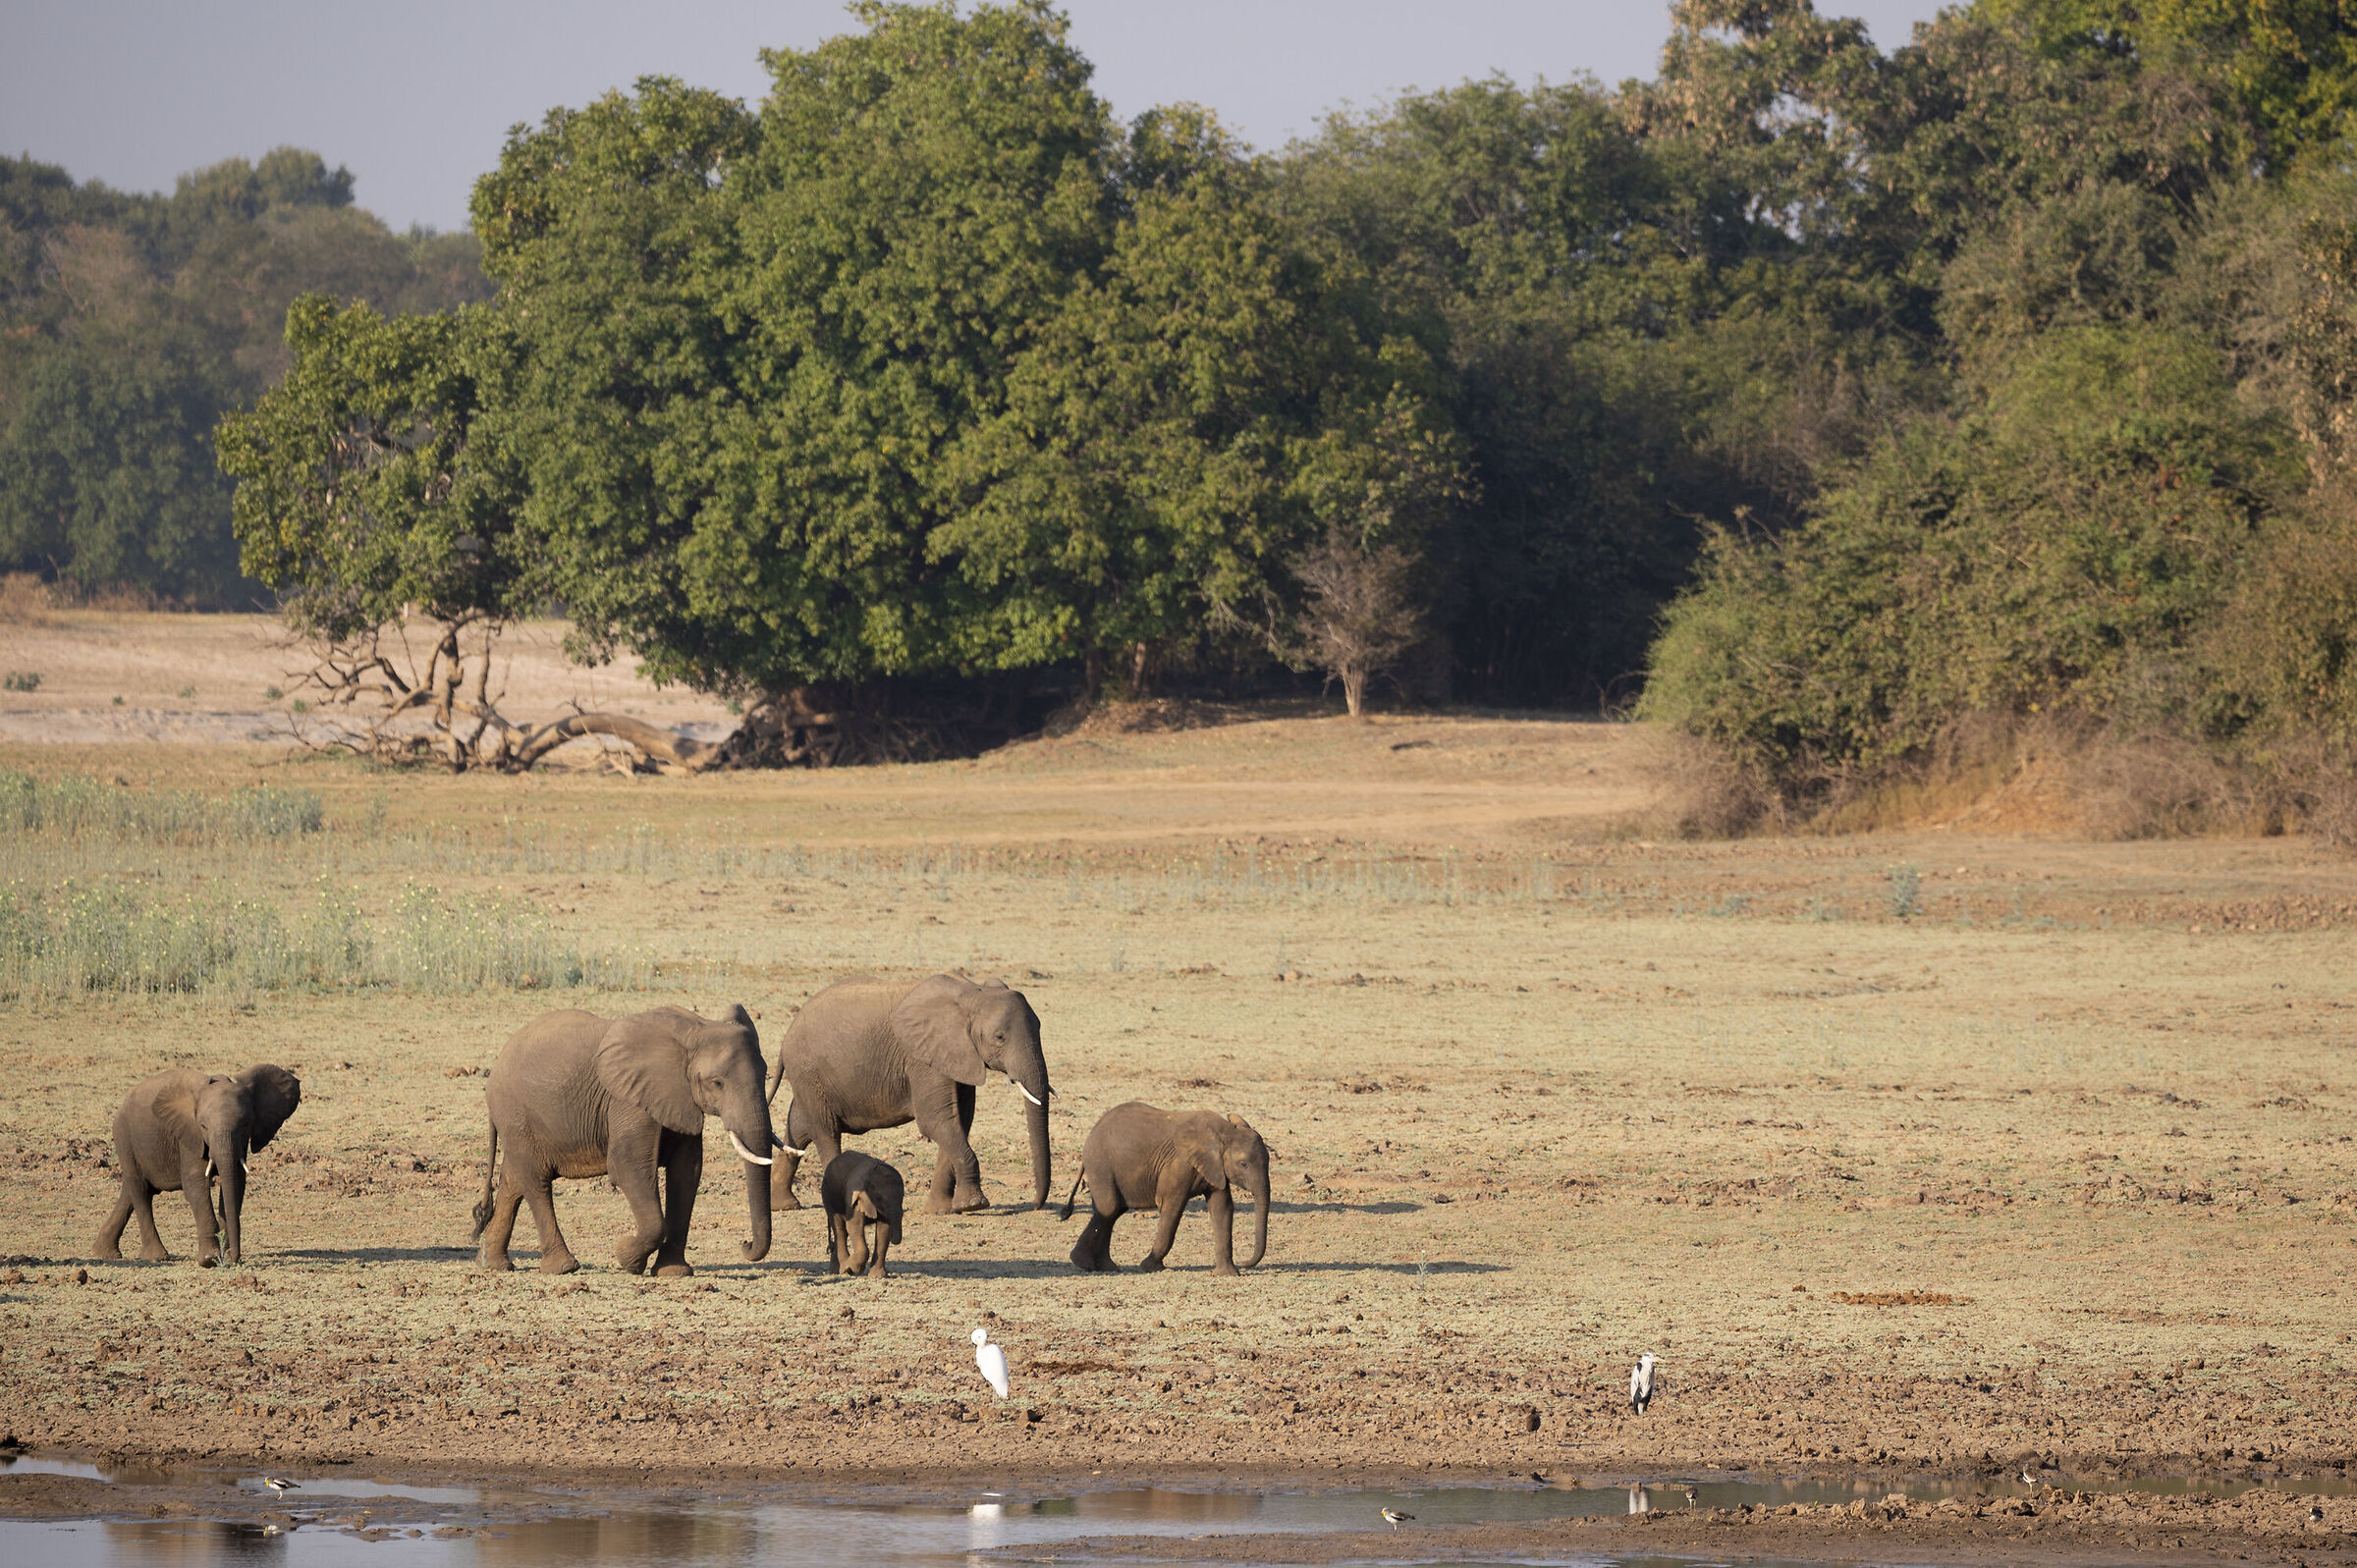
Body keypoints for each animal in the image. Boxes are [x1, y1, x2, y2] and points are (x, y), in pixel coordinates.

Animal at [91, 1065, 302, 1267]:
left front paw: (222, 1256)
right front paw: (209, 1260)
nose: (234, 1259)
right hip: (124, 1137)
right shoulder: (189, 1136)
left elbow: (236, 1183)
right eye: (203, 1126)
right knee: (140, 1190)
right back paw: (156, 1257)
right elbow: (195, 1184)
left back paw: (104, 1252)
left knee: (133, 1190)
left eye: (246, 1124)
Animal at [471, 1004, 777, 1276]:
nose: (745, 1244)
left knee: (514, 1181)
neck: (694, 1029)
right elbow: (628, 1166)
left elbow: (686, 1172)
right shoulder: (628, 1098)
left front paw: (673, 1272)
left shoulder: (678, 1098)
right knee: (536, 1182)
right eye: (716, 1083)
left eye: (765, 1074)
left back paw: (493, 1264)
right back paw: (563, 1267)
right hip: (516, 1114)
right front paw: (626, 1258)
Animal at [766, 974, 1053, 1215]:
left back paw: (784, 1205)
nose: (1038, 1205)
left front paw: (941, 1210)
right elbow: (935, 1120)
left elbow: (959, 1121)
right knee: (826, 1132)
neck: (971, 993)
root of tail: (787, 1035)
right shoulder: (922, 1060)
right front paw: (975, 1205)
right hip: (808, 1071)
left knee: (799, 1127)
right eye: (999, 1037)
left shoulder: (956, 1056)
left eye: (1041, 1028)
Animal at [821, 1150, 905, 1278]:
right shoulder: (854, 1198)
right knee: (840, 1228)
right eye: (879, 1198)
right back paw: (843, 1270)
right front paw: (851, 1268)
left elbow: (884, 1230)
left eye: (903, 1197)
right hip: (828, 1195)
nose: (894, 1240)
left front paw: (877, 1276)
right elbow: (854, 1227)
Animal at [1060, 1101, 1270, 1275]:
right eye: (1243, 1164)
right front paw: (1151, 1267)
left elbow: (1222, 1209)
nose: (1245, 1262)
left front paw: (1227, 1274)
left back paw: (1105, 1267)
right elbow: (1172, 1207)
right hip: (1101, 1165)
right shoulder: (1180, 1165)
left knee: (1114, 1211)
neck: (1224, 1131)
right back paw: (1083, 1263)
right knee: (1109, 1208)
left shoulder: (1216, 1169)